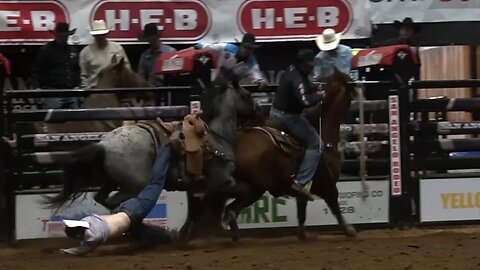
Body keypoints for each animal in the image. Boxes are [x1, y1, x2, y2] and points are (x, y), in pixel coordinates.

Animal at [223, 69, 358, 240]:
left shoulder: (303, 192)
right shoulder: (328, 186)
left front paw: (303, 235)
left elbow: (302, 213)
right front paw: (349, 229)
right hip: (254, 189)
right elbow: (335, 207)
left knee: (229, 209)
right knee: (231, 210)